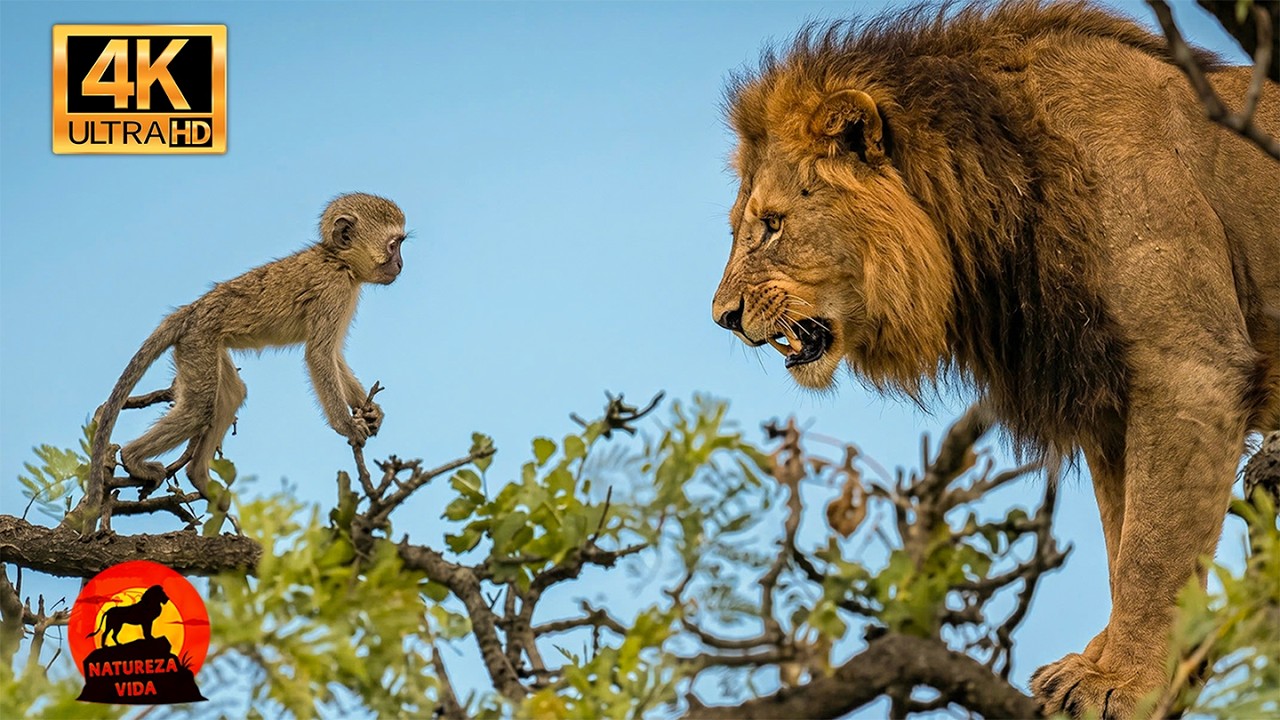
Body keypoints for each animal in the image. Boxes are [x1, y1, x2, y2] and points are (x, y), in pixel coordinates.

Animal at [710, 2, 1279, 718]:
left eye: (772, 225)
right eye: (743, 225)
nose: (723, 316)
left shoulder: (1187, 368)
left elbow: (1151, 549)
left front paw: (1123, 681)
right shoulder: (1111, 397)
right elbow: (1123, 534)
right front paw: (1123, 665)